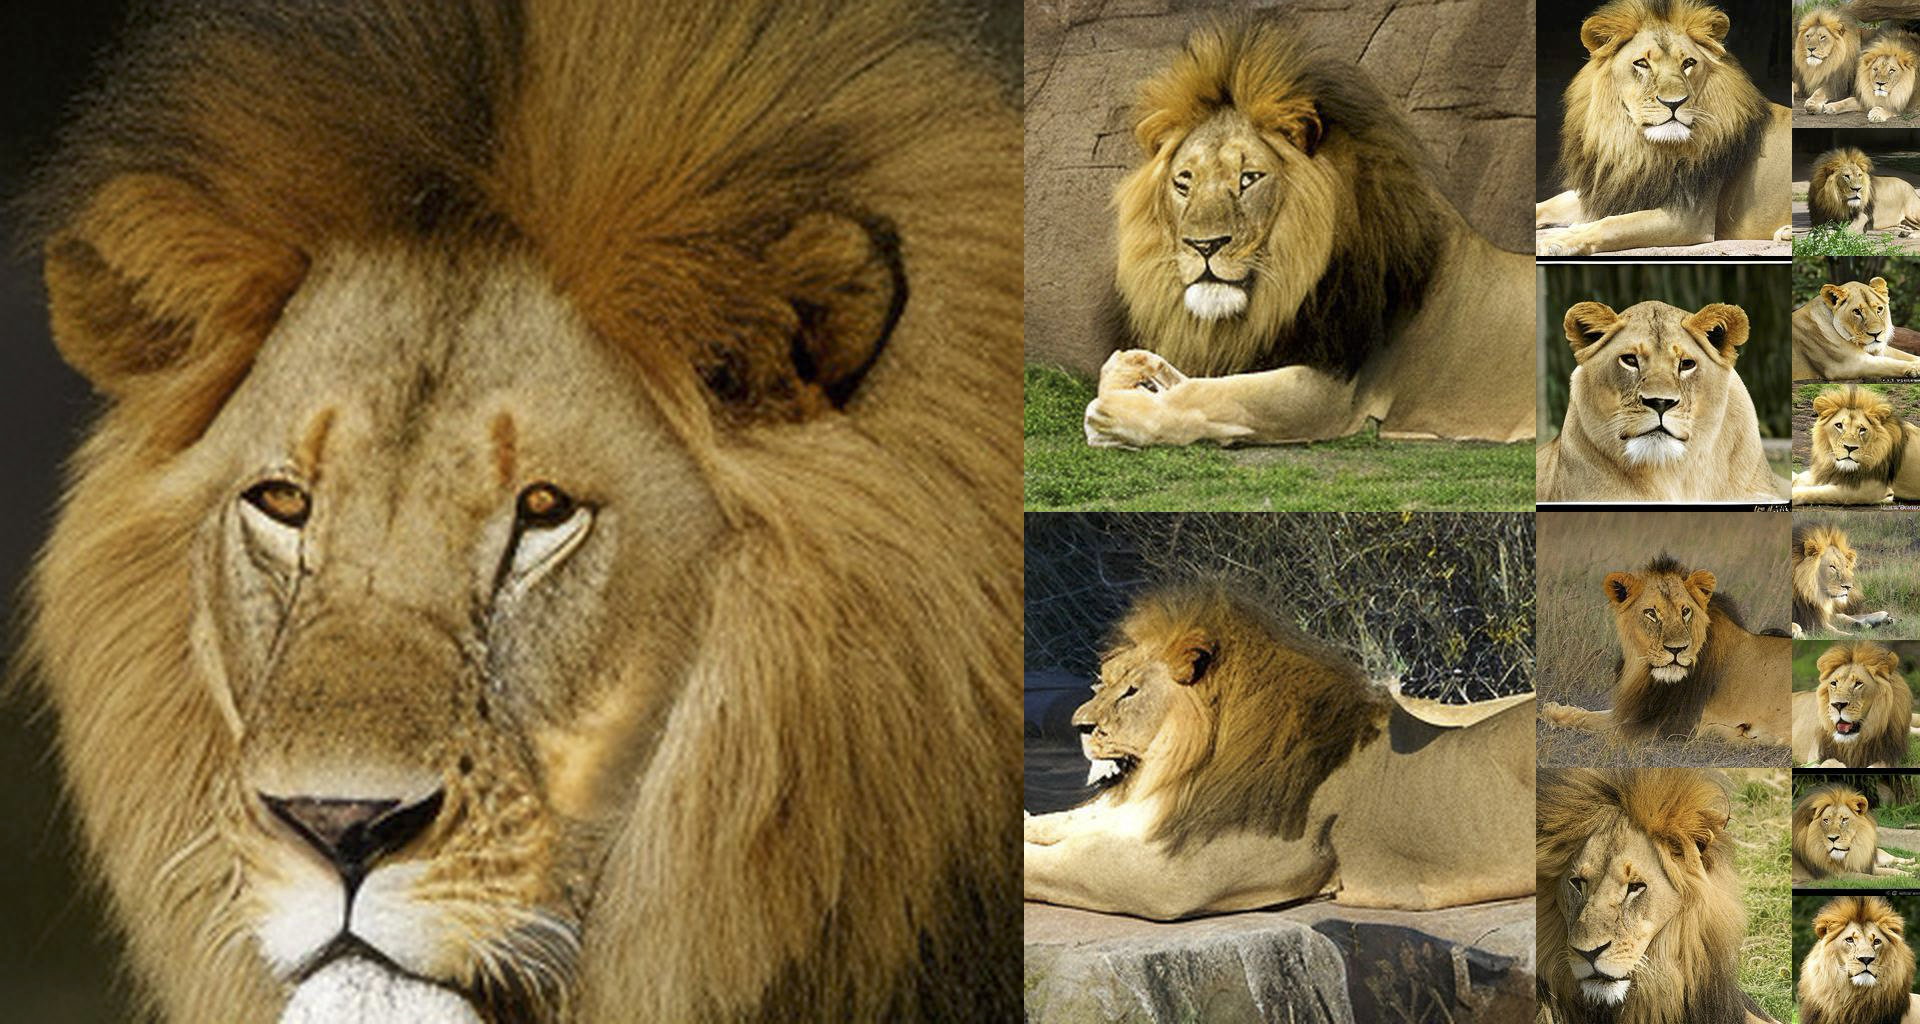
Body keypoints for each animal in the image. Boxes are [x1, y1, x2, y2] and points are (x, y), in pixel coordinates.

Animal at [1021, 587, 1532, 921]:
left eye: (1132, 691)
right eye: (1102, 684)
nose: (1079, 725)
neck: (1187, 773)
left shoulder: (1182, 876)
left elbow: (1072, 863)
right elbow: (1069, 822)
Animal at [1078, 19, 1532, 449]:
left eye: (1249, 178)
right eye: (1184, 182)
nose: (1203, 245)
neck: (1286, 288)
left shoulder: (1337, 391)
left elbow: (1216, 395)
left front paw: (1112, 416)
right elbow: (1189, 379)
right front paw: (1135, 370)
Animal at [1535, 0, 1792, 255]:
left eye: (1688, 63)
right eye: (1642, 63)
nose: (1674, 103)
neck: (1640, 150)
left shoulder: (1690, 217)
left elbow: (1611, 224)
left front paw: (1559, 240)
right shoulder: (1613, 189)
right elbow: (1550, 204)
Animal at [1539, 555, 1791, 747]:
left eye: (1685, 611)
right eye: (1651, 613)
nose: (1677, 649)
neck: (1644, 673)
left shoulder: (1667, 726)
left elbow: (1597, 723)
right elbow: (1596, 714)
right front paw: (1553, 710)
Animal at [1791, 386, 1920, 505]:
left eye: (1862, 430)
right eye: (1839, 425)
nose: (1850, 447)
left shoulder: (1869, 490)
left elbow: (1817, 493)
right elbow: (1801, 477)